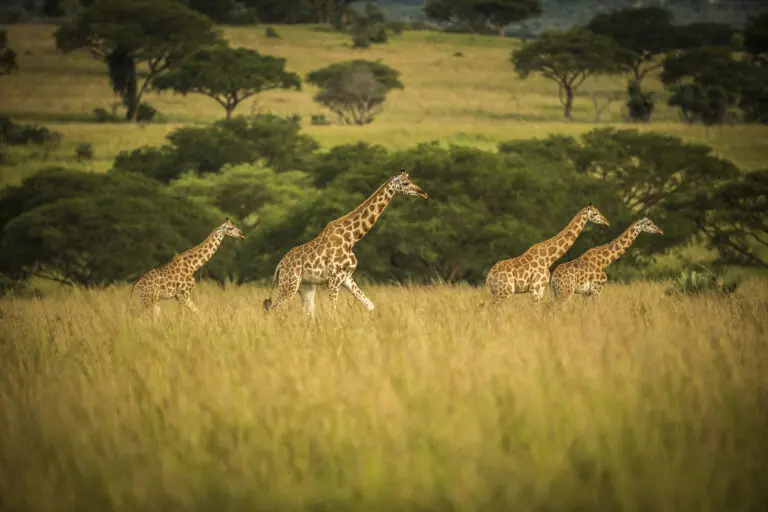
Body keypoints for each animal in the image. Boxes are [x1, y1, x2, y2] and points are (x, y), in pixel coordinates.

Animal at [263, 169, 428, 318]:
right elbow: (332, 312)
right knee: (276, 309)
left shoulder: (346, 278)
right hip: (290, 284)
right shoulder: (334, 279)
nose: (422, 193)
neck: (351, 238)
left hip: (306, 287)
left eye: (411, 180)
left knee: (306, 313)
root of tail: (280, 265)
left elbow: (370, 306)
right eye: (405, 183)